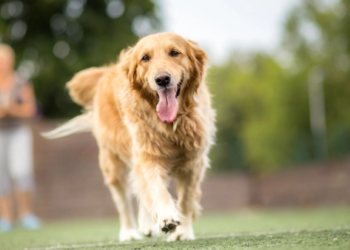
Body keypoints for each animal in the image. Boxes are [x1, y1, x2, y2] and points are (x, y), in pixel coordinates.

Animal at [45, 32, 216, 241]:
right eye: (145, 58)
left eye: (175, 52)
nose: (162, 79)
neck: (171, 124)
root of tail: (108, 71)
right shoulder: (148, 155)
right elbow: (157, 189)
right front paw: (166, 217)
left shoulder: (194, 162)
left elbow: (186, 200)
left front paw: (182, 233)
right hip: (113, 164)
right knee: (123, 201)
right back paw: (130, 233)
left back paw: (147, 226)